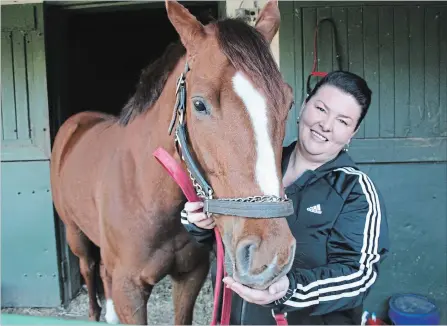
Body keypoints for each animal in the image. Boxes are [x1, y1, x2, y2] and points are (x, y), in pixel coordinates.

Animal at [50, 1, 298, 324]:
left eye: (288, 101)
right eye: (199, 104)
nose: (269, 256)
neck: (144, 191)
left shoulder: (190, 276)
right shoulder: (130, 290)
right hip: (75, 235)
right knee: (88, 266)